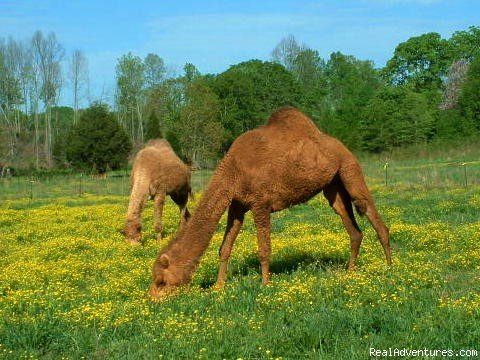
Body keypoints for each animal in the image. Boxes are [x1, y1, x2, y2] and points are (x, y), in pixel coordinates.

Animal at [149, 107, 390, 298]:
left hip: (349, 167)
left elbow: (264, 248)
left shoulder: (260, 203)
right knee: (352, 226)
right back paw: (350, 272)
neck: (232, 170)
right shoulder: (237, 205)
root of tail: (341, 145)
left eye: (161, 281)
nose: (152, 299)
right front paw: (218, 286)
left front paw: (265, 284)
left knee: (372, 213)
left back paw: (389, 268)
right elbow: (224, 247)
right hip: (333, 186)